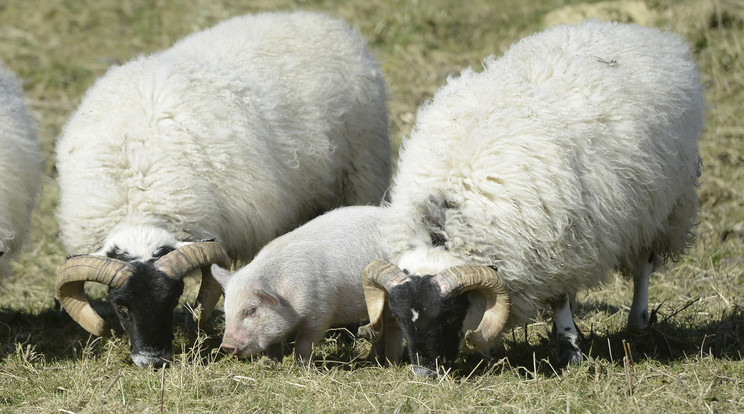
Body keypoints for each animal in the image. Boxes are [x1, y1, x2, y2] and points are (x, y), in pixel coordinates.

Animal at [53, 9, 392, 368]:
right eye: (120, 305)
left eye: (172, 298)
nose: (155, 361)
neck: (140, 193)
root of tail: (312, 17)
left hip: (360, 173)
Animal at [358, 22, 704, 378]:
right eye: (399, 316)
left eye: (450, 315)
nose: (425, 374)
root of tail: (639, 32)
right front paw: (491, 350)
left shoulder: (558, 249)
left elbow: (560, 299)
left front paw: (570, 352)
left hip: (663, 206)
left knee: (644, 265)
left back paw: (638, 322)